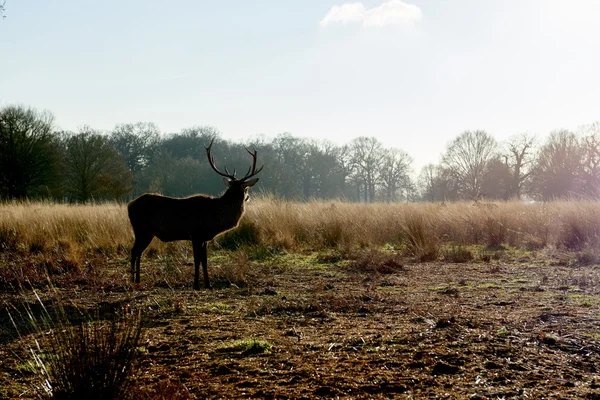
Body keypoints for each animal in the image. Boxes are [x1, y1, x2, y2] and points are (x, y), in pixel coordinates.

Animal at [127, 139, 262, 290]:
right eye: (246, 189)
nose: (248, 197)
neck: (216, 216)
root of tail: (129, 205)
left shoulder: (204, 238)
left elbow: (205, 260)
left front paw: (208, 284)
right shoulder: (196, 234)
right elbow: (197, 259)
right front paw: (196, 284)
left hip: (146, 232)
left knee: (138, 252)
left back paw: (137, 280)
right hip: (142, 229)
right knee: (134, 251)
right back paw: (133, 281)